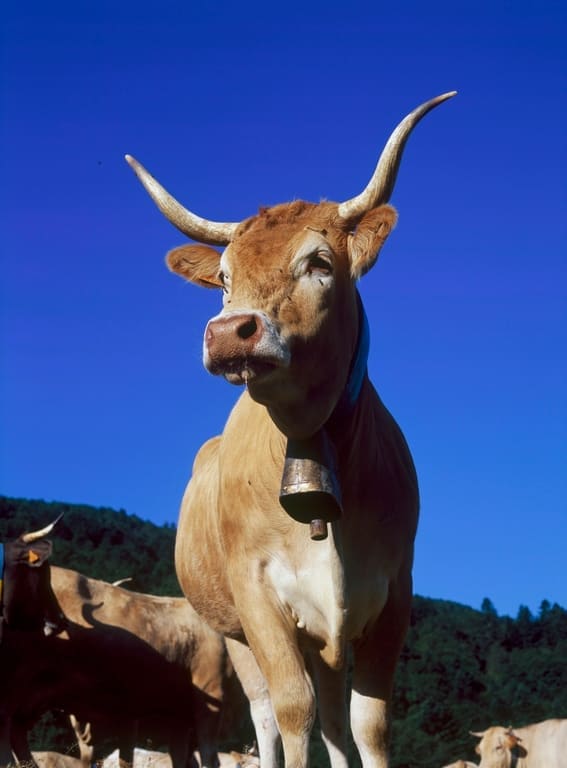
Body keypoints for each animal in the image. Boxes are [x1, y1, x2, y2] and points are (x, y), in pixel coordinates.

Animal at [126, 91, 456, 768]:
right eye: (223, 279)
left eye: (319, 262)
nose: (229, 332)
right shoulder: (258, 597)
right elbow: (292, 711)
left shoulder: (392, 594)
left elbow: (367, 725)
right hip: (233, 632)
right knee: (269, 715)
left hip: (326, 632)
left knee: (332, 718)